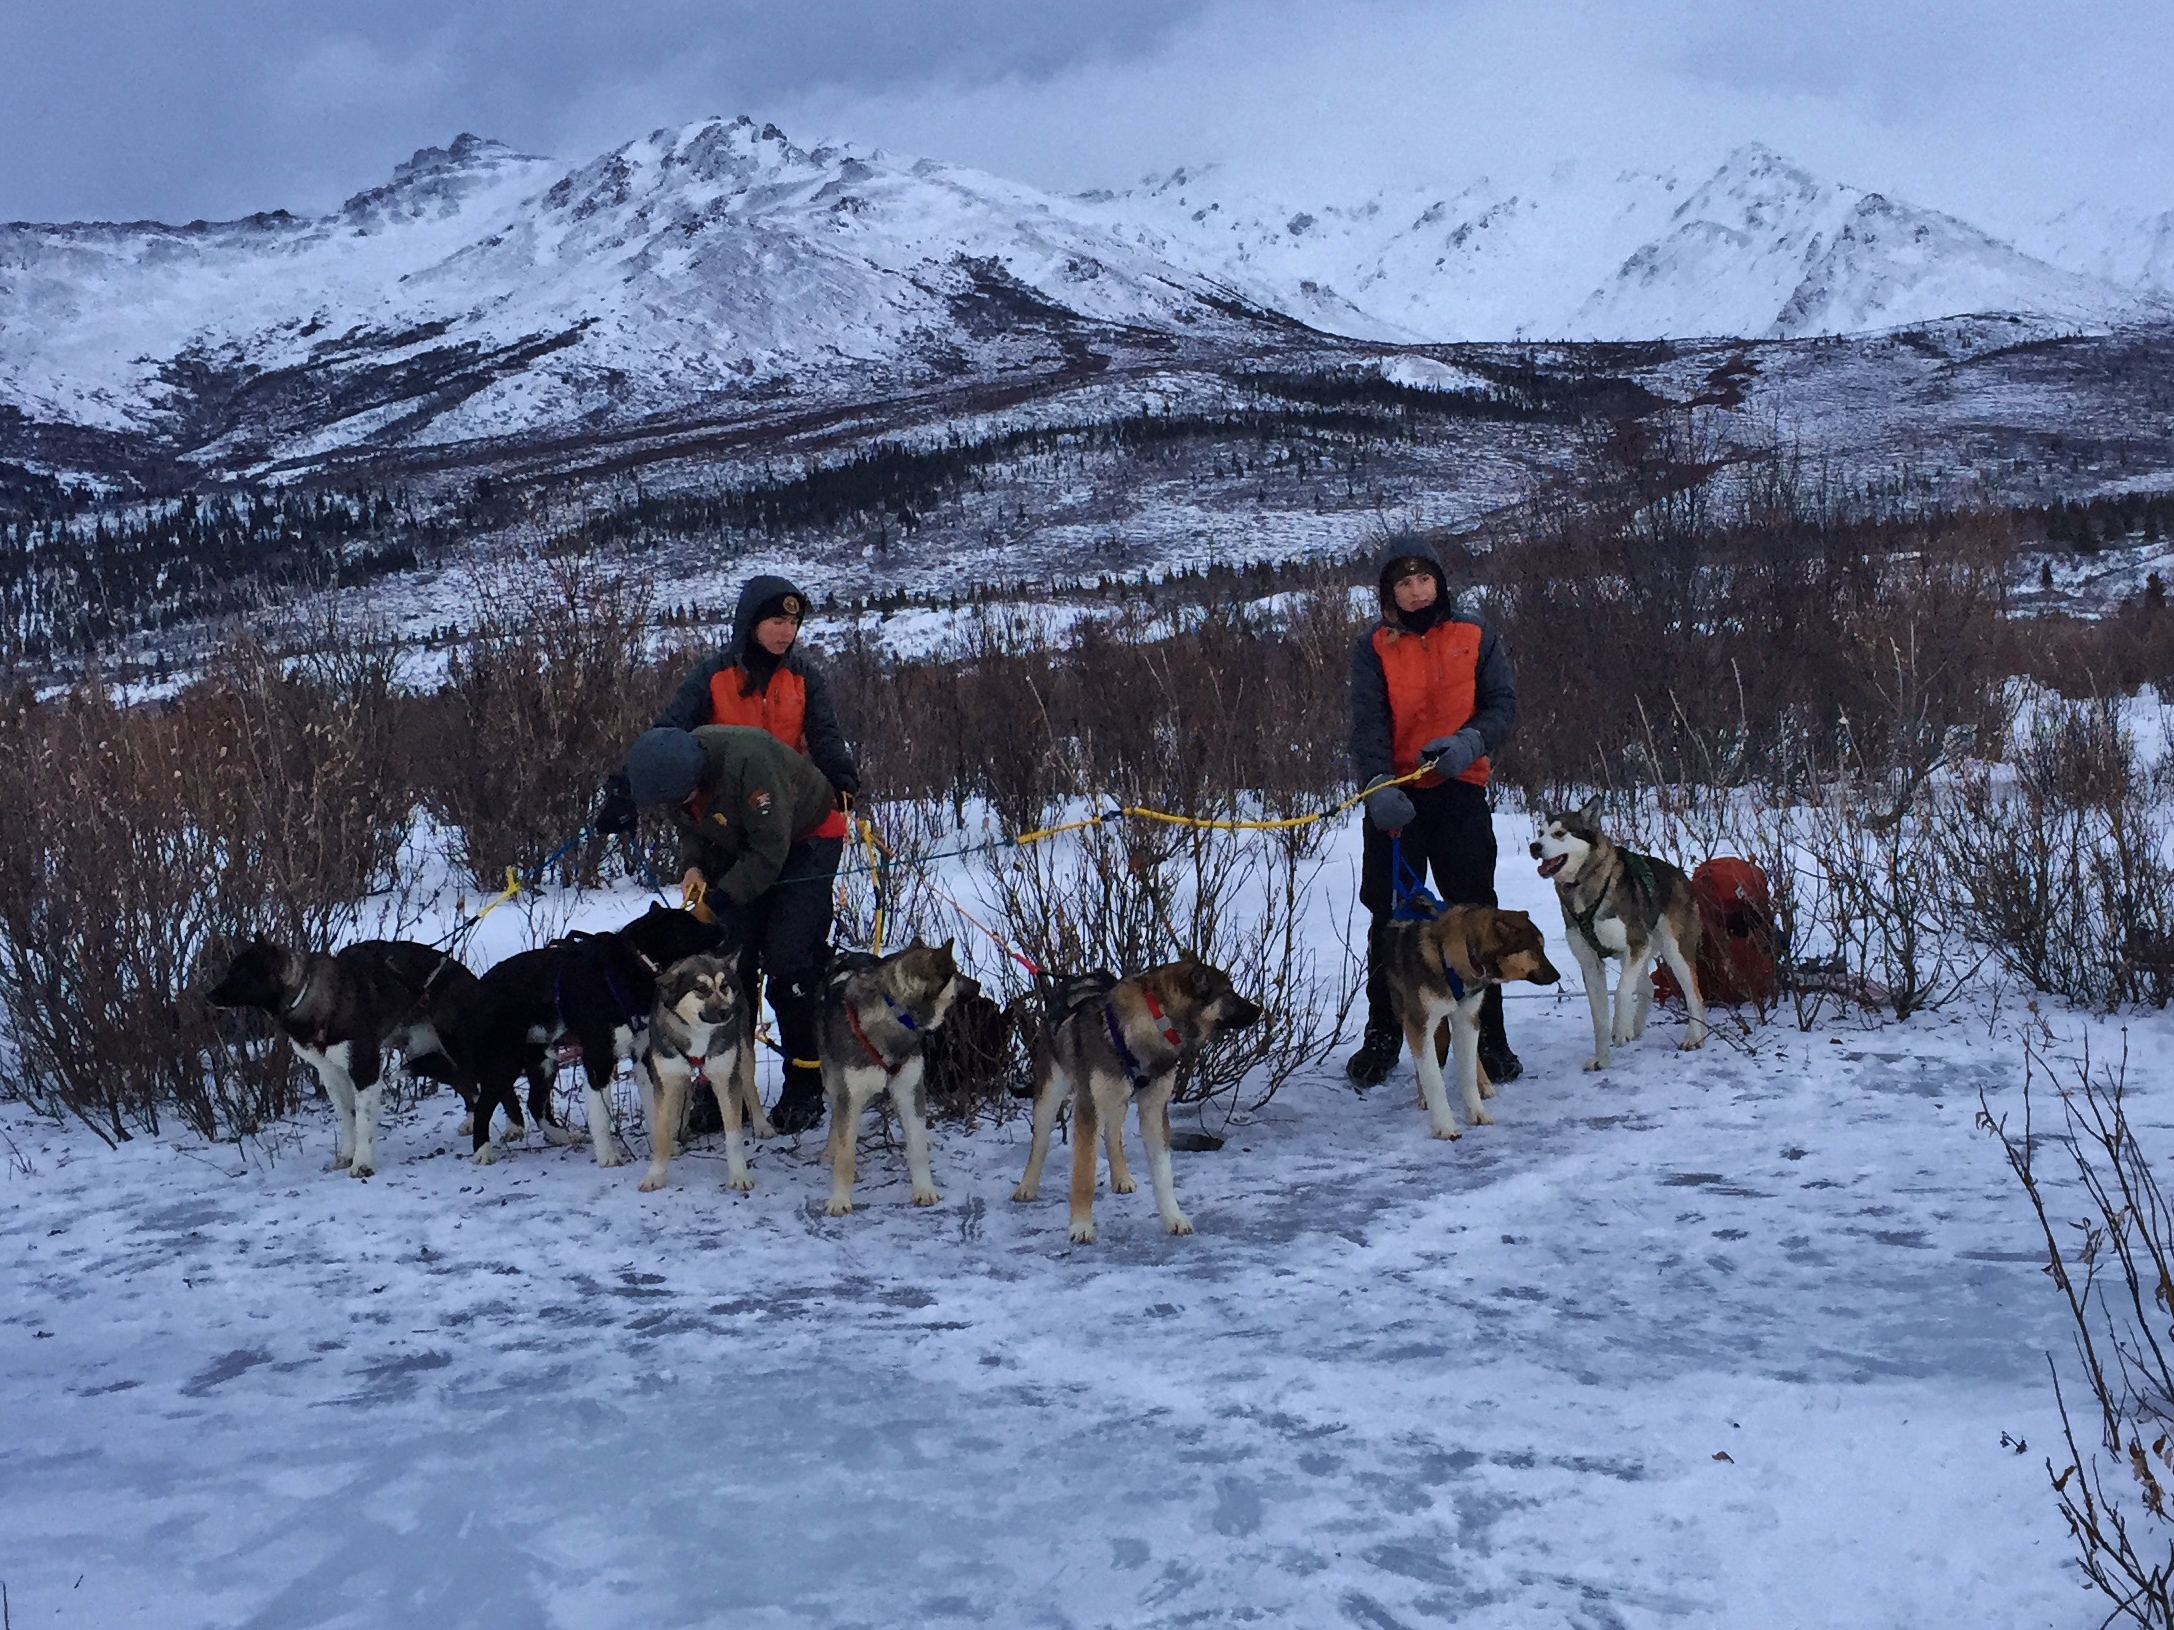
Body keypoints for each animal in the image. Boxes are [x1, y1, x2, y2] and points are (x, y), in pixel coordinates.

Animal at [634, 951, 769, 1190]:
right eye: (700, 988)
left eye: (723, 986)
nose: (727, 1011)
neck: (698, 1033)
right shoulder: (666, 1081)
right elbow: (661, 1133)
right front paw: (655, 1175)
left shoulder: (725, 1076)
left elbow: (733, 1135)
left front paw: (739, 1174)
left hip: (743, 1054)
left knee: (750, 1088)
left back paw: (761, 1124)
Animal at [817, 943, 965, 1217]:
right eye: (955, 972)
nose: (977, 984)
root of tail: (848, 953)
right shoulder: (849, 1094)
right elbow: (845, 1153)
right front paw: (840, 1199)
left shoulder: (910, 1087)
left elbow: (916, 1146)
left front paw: (924, 1189)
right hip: (833, 1080)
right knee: (836, 1118)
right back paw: (830, 1151)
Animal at [1013, 964, 1269, 1243]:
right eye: (1228, 992)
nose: (1260, 1010)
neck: (1155, 1023)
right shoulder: (1089, 1107)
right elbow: (1084, 1175)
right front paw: (1080, 1226)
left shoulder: (1154, 1109)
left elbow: (1163, 1174)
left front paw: (1173, 1218)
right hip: (1051, 1093)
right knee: (1040, 1142)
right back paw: (1026, 1185)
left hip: (1118, 1100)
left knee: (1112, 1135)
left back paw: (1121, 1177)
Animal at [1382, 908, 1556, 1138]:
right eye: (1536, 950)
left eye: (1541, 948)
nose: (1557, 976)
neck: (1449, 961)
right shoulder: (1419, 1025)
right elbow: (1433, 1077)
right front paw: (1444, 1125)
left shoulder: (1467, 1019)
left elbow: (1468, 1072)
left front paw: (1477, 1112)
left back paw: (1485, 1084)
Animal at [1539, 808, 1704, 1073]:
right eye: (1540, 832)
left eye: (1559, 833)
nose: (1535, 846)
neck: (1585, 890)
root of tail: (1682, 876)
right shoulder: (1591, 963)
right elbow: (1599, 1018)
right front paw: (1602, 1058)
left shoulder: (1636, 944)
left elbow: (1620, 991)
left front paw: (1620, 1029)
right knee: (1648, 986)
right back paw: (1636, 1027)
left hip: (1673, 950)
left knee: (1694, 993)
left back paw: (1693, 1036)